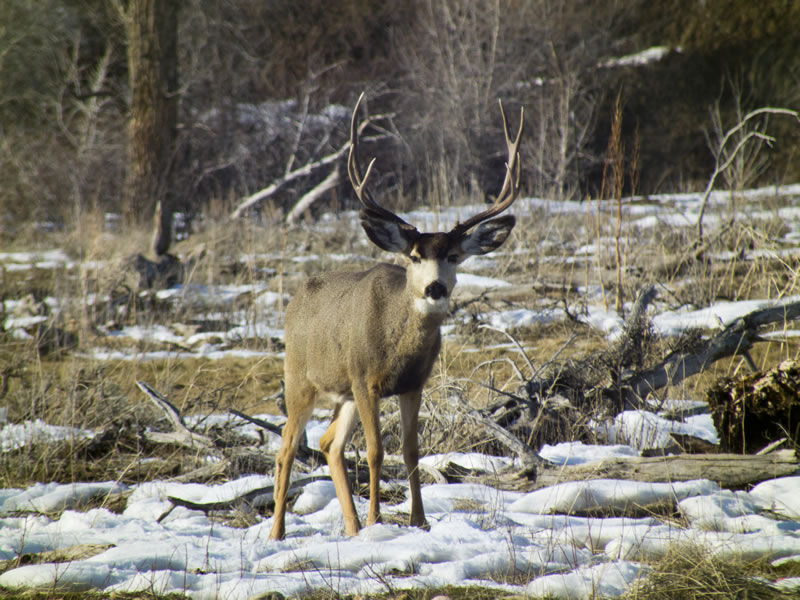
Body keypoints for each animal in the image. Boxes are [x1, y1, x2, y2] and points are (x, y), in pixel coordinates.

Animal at [269, 93, 524, 540]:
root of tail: (298, 294)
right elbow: (375, 451)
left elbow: (410, 451)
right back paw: (279, 532)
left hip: (343, 393)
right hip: (301, 377)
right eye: (415, 256)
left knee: (329, 444)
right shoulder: (364, 377)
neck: (397, 346)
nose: (435, 288)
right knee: (286, 447)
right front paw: (378, 520)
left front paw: (418, 521)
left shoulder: (413, 383)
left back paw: (352, 527)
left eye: (453, 255)